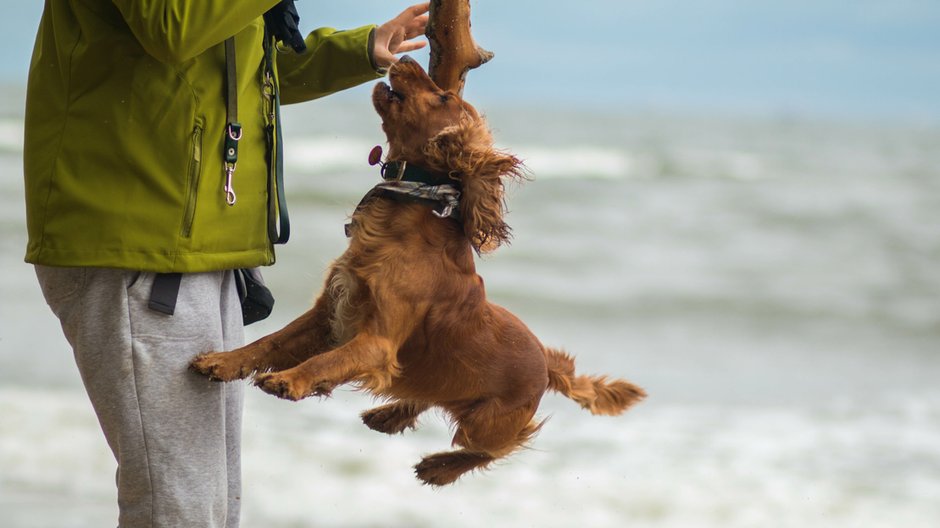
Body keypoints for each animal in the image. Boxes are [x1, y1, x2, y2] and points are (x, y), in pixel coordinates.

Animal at [191, 55, 648, 484]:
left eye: (444, 98)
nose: (405, 58)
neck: (410, 204)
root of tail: (547, 361)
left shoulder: (376, 341)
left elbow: (327, 361)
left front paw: (291, 380)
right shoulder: (329, 311)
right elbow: (268, 342)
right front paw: (224, 361)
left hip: (487, 423)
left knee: (492, 449)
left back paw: (438, 468)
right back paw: (389, 416)